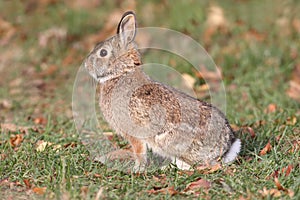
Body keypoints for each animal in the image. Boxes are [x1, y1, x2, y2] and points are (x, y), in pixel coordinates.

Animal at [84, 10, 241, 171]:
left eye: (103, 53)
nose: (86, 65)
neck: (121, 72)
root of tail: (225, 148)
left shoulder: (134, 133)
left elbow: (139, 152)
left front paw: (137, 170)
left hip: (168, 141)